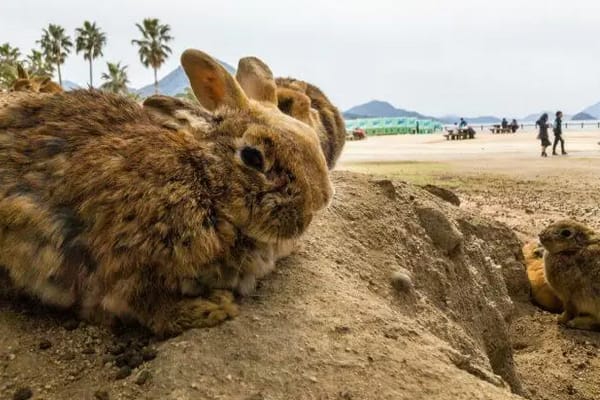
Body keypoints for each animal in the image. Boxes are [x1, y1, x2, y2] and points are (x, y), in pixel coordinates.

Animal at [0, 50, 332, 338]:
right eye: (252, 157)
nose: (319, 202)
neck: (207, 184)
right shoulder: (126, 261)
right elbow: (148, 306)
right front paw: (210, 308)